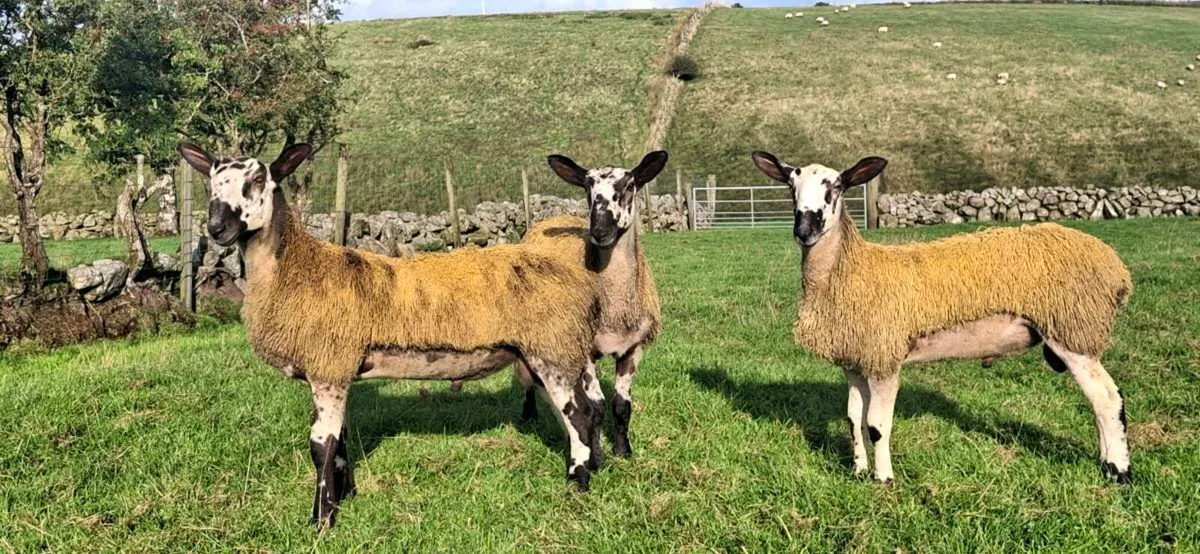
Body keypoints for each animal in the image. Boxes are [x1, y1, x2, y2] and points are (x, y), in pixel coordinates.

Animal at [178, 141, 607, 529]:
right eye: (210, 184)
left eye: (256, 180)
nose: (217, 229)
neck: (297, 269)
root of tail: (581, 284)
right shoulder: (337, 369)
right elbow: (341, 438)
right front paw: (346, 494)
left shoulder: (328, 366)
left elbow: (320, 443)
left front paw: (321, 520)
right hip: (549, 351)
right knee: (581, 412)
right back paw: (591, 466)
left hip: (551, 348)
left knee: (579, 415)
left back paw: (579, 484)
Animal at [513, 151, 666, 458]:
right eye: (587, 188)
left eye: (629, 185)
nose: (600, 231)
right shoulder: (585, 350)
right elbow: (596, 407)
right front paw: (596, 453)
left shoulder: (633, 348)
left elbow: (621, 405)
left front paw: (623, 450)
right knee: (530, 379)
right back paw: (530, 413)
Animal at [750, 151, 1134, 486]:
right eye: (790, 186)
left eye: (837, 187)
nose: (805, 231)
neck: (850, 269)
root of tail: (1114, 266)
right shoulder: (856, 361)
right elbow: (853, 419)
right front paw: (858, 471)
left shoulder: (885, 359)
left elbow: (877, 426)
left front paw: (883, 478)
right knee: (1100, 401)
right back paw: (1106, 461)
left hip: (1072, 331)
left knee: (1107, 398)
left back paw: (1119, 471)